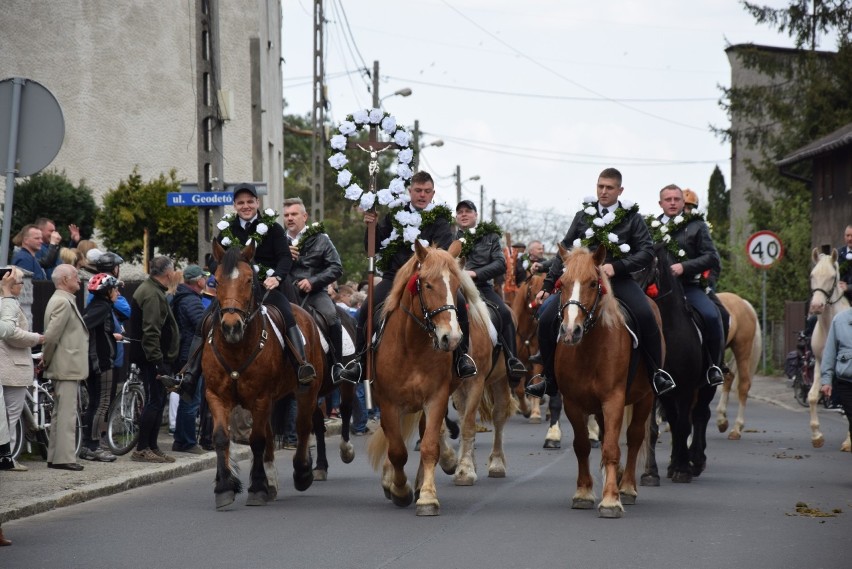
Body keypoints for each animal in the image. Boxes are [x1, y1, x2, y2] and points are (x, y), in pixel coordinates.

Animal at [205, 242, 324, 508]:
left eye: (249, 280)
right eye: (216, 280)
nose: (231, 327)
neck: (236, 348)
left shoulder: (260, 397)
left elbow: (256, 440)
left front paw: (257, 487)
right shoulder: (216, 396)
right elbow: (221, 438)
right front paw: (224, 488)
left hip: (307, 390)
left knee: (302, 426)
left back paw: (302, 472)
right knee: (271, 435)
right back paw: (271, 482)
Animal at [364, 240, 492, 516]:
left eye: (456, 286)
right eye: (428, 284)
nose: (451, 338)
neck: (411, 346)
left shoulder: (436, 399)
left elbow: (429, 446)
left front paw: (427, 497)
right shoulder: (388, 403)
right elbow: (397, 450)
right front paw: (399, 489)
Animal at [548, 242, 656, 516]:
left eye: (592, 283)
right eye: (562, 283)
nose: (570, 331)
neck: (590, 349)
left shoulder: (614, 399)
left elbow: (611, 447)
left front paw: (611, 500)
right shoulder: (573, 403)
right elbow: (582, 445)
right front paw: (584, 493)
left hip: (646, 398)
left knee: (634, 437)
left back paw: (626, 487)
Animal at [712, 290, 764, 442]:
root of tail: (743, 302)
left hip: (742, 350)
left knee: (744, 385)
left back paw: (736, 428)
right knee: (729, 376)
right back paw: (722, 419)